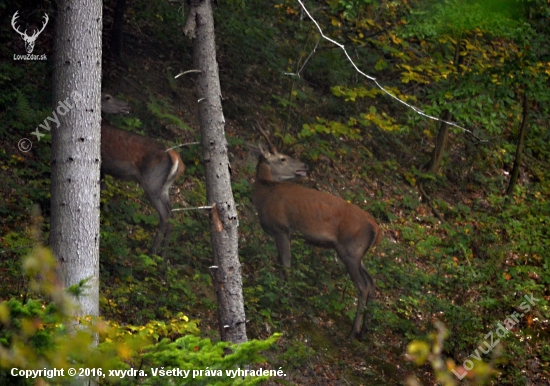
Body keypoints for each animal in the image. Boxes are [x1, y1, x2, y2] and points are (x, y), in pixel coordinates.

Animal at [100, 93, 184, 256]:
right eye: (107, 97)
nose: (127, 105)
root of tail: (175, 157)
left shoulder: (101, 164)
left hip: (151, 182)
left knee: (165, 215)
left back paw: (153, 251)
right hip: (164, 187)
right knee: (173, 214)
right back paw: (163, 255)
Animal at [250, 133, 384, 340]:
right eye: (283, 158)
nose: (305, 165)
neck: (264, 195)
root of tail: (376, 229)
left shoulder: (282, 229)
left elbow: (286, 267)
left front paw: (286, 303)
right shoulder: (283, 234)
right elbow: (280, 264)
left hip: (350, 249)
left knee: (362, 286)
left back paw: (353, 332)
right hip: (358, 253)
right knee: (372, 281)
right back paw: (364, 330)